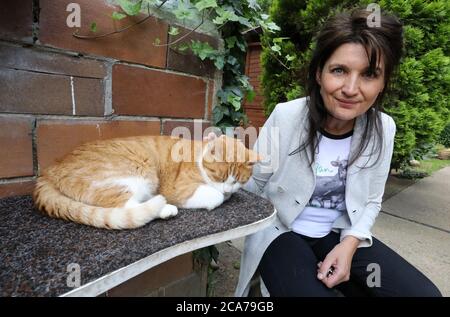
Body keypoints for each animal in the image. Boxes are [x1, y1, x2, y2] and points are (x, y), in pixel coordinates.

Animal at [33, 132, 260, 228]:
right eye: (220, 176)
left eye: (237, 182)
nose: (227, 190)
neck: (197, 156)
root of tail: (51, 169)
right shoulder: (178, 189)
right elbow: (214, 196)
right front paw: (220, 196)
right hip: (135, 173)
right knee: (126, 207)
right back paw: (165, 209)